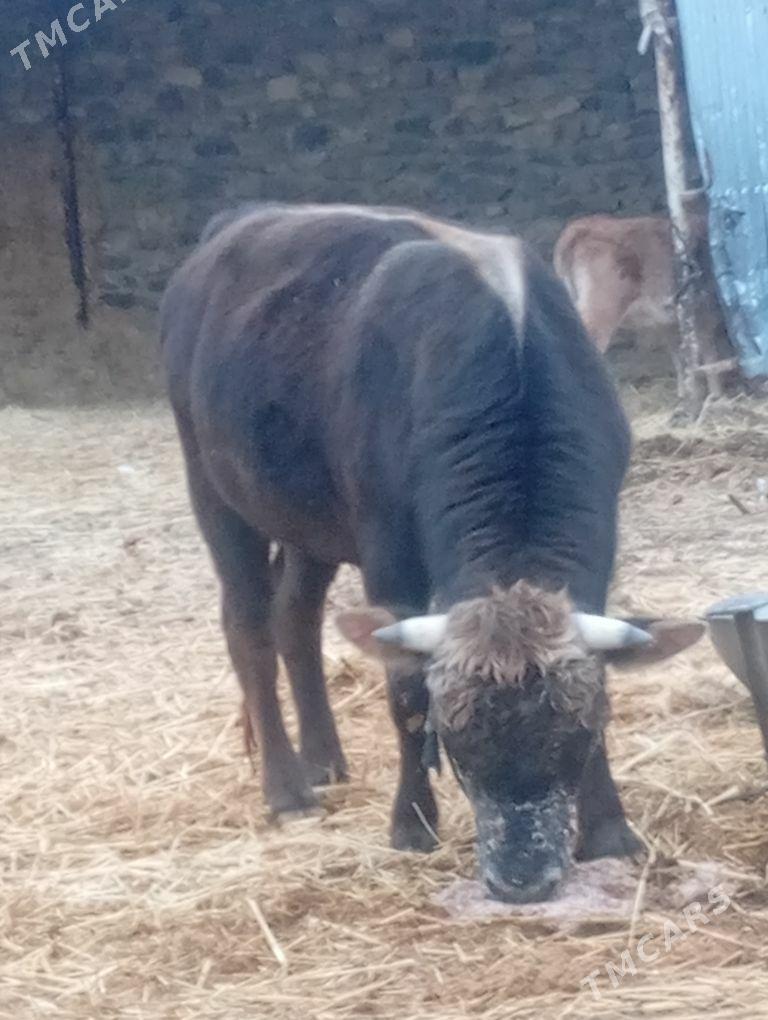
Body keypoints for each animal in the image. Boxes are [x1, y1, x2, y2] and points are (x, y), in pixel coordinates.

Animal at [161, 202, 702, 903]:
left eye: (573, 737)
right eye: (458, 740)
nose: (521, 879)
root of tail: (237, 223)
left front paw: (610, 830)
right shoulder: (388, 555)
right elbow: (406, 692)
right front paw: (412, 823)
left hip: (311, 525)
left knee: (295, 618)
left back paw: (325, 759)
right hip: (216, 494)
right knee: (248, 628)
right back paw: (288, 789)